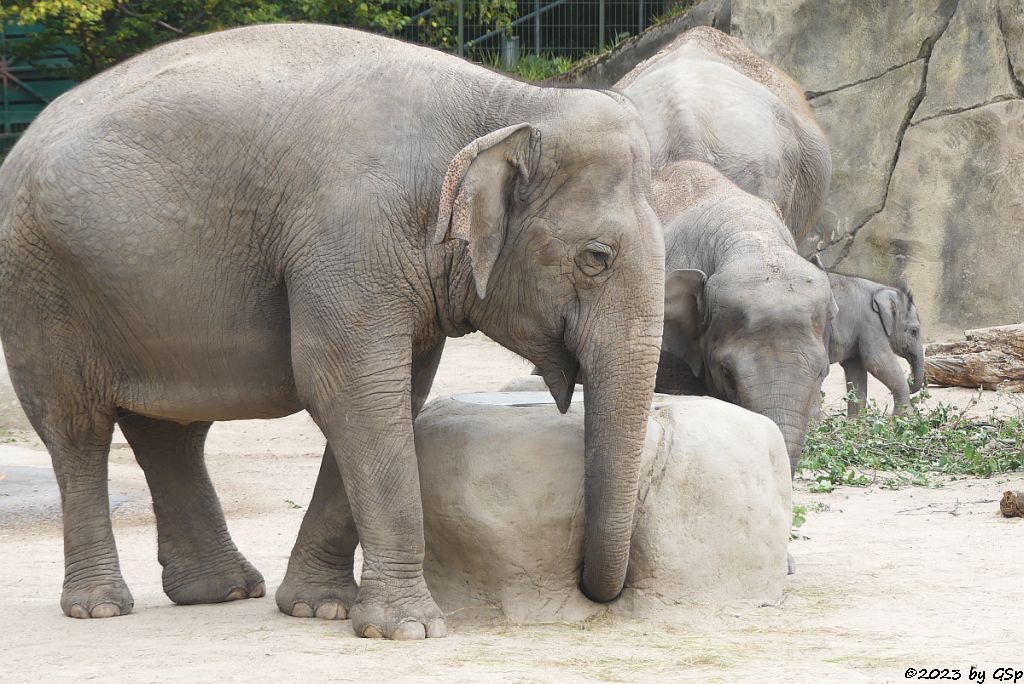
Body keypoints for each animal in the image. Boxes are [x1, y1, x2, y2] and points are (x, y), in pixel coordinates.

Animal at [0, 24, 663, 638]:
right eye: (596, 257)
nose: (589, 587)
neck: (507, 103)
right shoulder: (352, 236)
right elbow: (352, 387)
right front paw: (409, 630)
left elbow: (398, 393)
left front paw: (320, 608)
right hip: (39, 290)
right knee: (77, 430)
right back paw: (100, 606)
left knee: (171, 432)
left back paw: (223, 591)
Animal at [815, 262, 929, 417]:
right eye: (914, 332)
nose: (910, 380)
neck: (881, 288)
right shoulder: (871, 322)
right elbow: (877, 361)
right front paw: (906, 416)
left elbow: (856, 369)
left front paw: (856, 420)